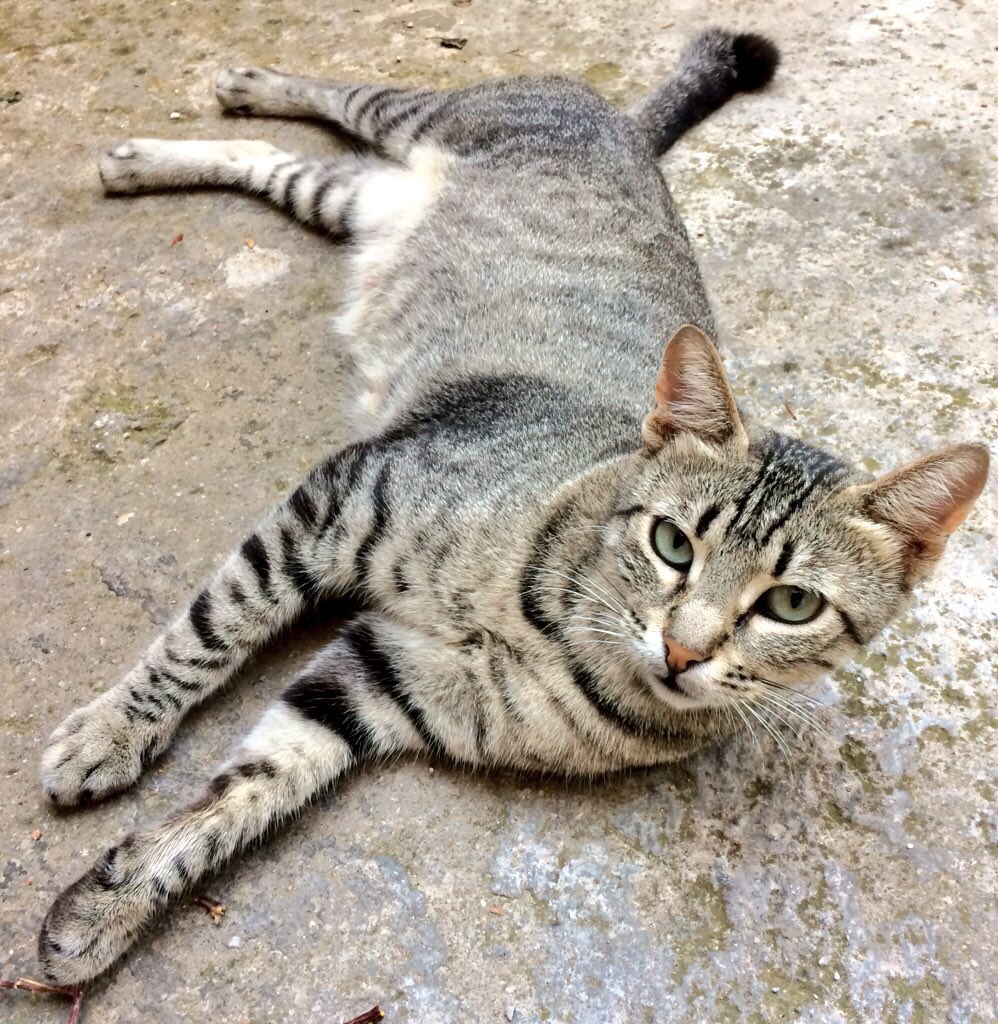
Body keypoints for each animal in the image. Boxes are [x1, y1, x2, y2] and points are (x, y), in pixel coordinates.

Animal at [37, 27, 987, 986]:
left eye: (791, 605)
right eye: (673, 543)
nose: (684, 650)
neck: (555, 628)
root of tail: (627, 130)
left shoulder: (377, 681)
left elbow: (250, 787)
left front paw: (110, 905)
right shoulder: (345, 495)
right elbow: (208, 631)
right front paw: (113, 731)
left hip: (355, 197)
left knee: (280, 163)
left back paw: (149, 155)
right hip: (422, 113)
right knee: (327, 95)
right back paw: (227, 91)